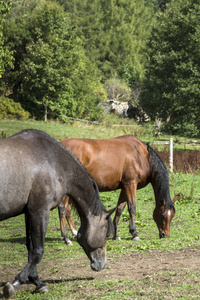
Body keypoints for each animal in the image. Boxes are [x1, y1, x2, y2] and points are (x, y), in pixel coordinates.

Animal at [0, 129, 115, 298]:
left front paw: (37, 282)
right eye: (106, 234)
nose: (102, 265)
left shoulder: (29, 212)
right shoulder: (40, 212)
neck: (54, 162)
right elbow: (38, 251)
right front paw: (14, 284)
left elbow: (30, 248)